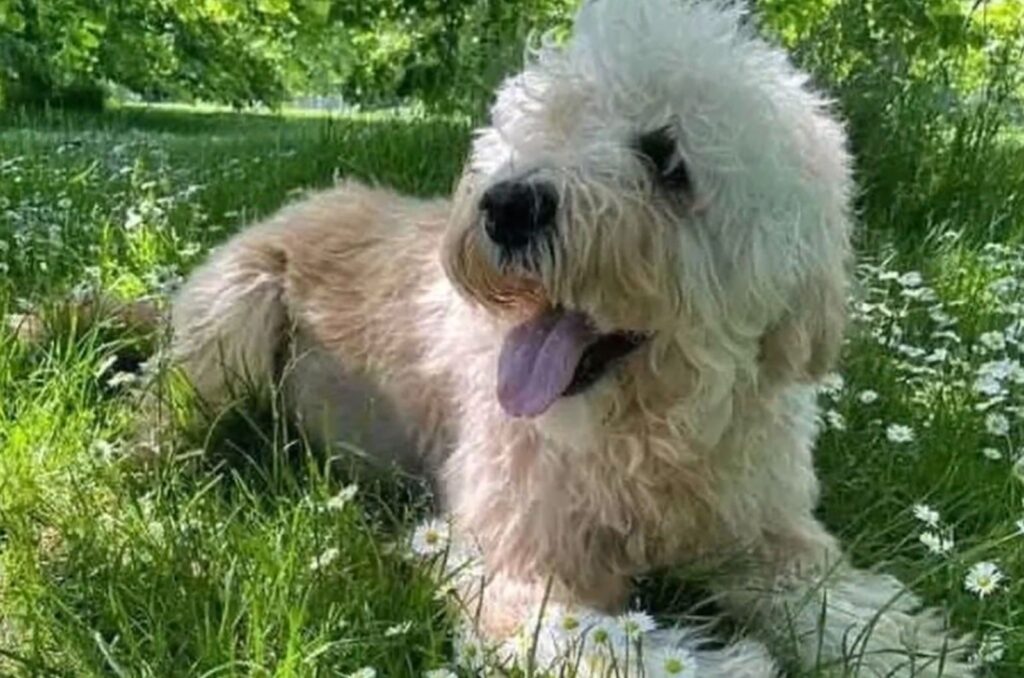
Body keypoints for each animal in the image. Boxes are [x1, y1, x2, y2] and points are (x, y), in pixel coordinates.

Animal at [172, 1, 970, 675]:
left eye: (666, 157)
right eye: (539, 128)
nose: (507, 205)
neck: (646, 436)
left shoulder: (772, 537)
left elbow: (854, 610)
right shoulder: (510, 566)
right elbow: (608, 645)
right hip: (228, 330)